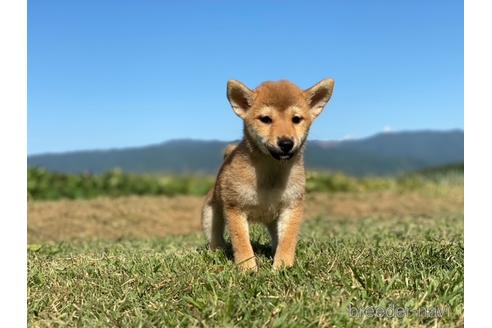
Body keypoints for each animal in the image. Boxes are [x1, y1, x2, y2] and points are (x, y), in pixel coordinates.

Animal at [200, 79, 334, 270]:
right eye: (266, 119)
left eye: (296, 119)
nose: (286, 143)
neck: (271, 174)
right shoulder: (235, 208)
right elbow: (242, 243)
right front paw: (247, 268)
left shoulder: (292, 207)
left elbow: (287, 241)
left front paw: (283, 266)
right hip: (211, 215)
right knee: (215, 236)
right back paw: (217, 251)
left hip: (273, 220)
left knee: (276, 239)